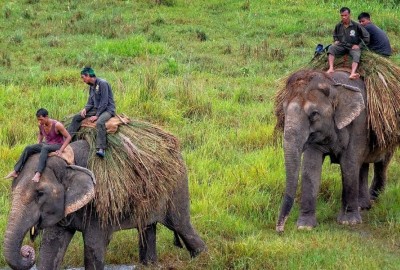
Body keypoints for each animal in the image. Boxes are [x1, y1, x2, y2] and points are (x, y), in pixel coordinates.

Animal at [4, 139, 206, 270]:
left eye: (40, 193)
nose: (27, 251)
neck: (68, 161)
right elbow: (51, 246)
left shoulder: (99, 202)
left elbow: (93, 245)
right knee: (148, 227)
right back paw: (149, 265)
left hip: (177, 186)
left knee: (181, 225)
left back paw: (202, 259)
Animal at [276, 69, 396, 232]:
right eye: (283, 110)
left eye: (314, 114)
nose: (280, 229)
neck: (333, 84)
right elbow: (310, 167)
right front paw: (305, 226)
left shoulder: (359, 122)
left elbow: (349, 164)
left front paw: (348, 222)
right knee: (363, 165)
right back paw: (363, 206)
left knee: (381, 162)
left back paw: (373, 199)